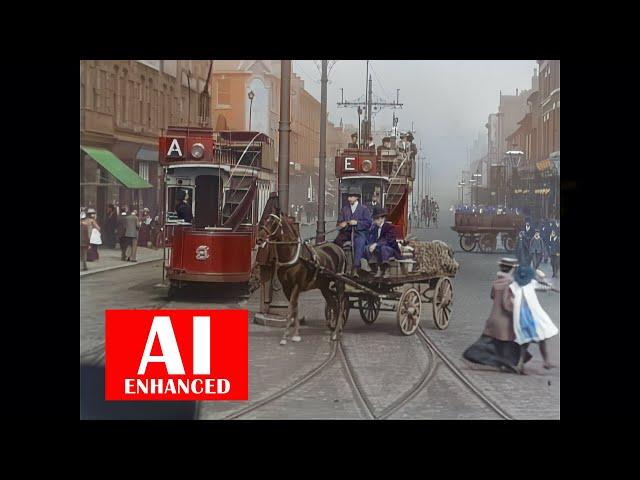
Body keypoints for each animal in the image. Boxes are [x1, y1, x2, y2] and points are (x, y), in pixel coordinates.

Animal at [256, 212, 350, 344]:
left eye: (273, 222)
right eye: (264, 219)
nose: (259, 239)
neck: (293, 255)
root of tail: (338, 248)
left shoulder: (297, 285)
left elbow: (291, 308)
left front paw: (286, 336)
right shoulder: (286, 287)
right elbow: (294, 309)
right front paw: (295, 334)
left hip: (339, 281)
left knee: (341, 304)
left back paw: (336, 332)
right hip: (323, 286)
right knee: (333, 303)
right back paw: (334, 327)